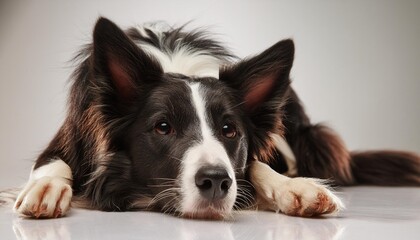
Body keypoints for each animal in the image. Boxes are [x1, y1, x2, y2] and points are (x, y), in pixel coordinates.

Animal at [8, 16, 418, 219]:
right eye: (163, 127)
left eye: (229, 130)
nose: (216, 182)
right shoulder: (69, 139)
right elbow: (53, 164)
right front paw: (45, 188)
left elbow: (256, 166)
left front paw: (295, 189)